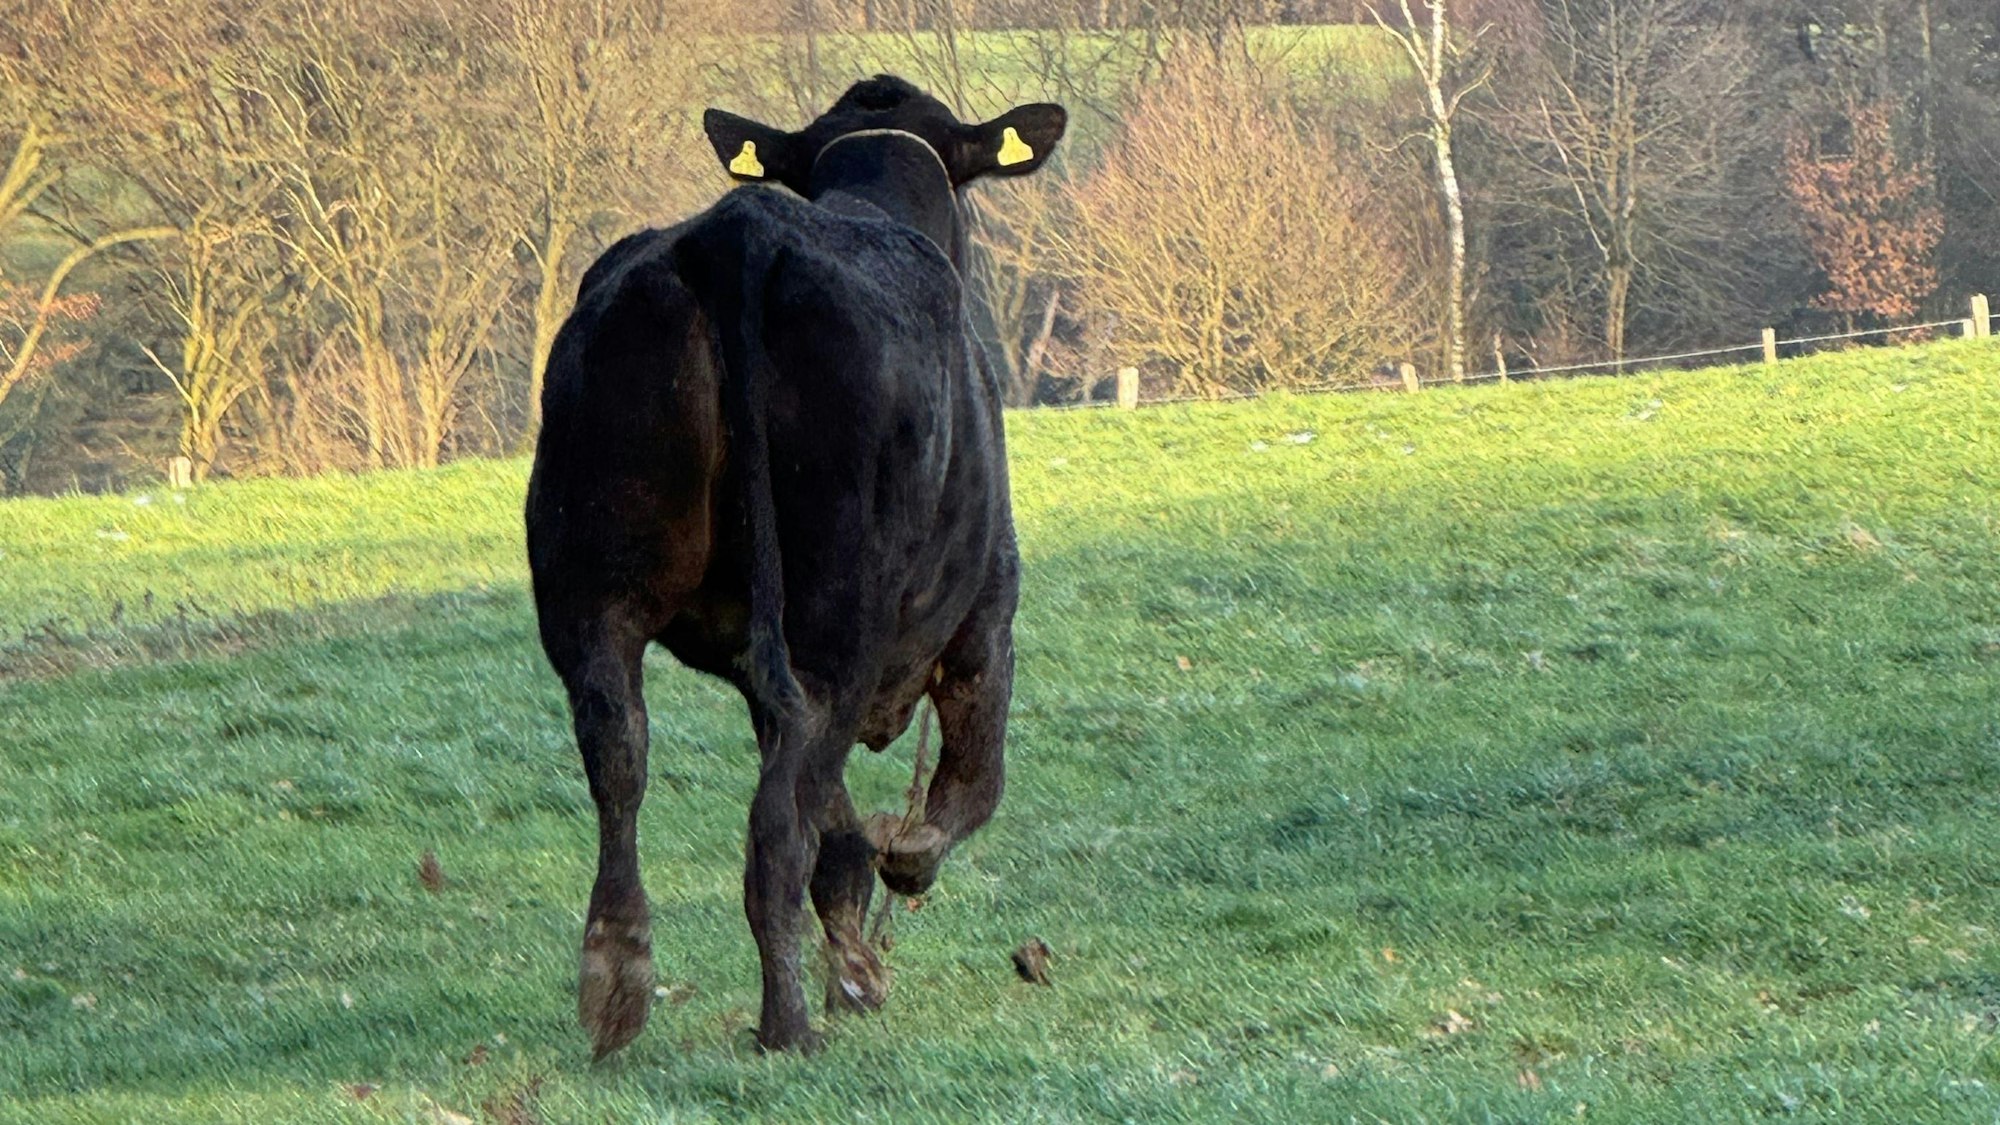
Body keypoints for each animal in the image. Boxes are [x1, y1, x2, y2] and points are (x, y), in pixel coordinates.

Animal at [524, 76, 1067, 1056]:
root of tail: (737, 230)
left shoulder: (751, 659)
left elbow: (839, 817)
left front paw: (856, 946)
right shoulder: (987, 617)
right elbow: (966, 790)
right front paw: (898, 873)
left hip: (591, 586)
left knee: (621, 750)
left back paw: (617, 983)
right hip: (836, 610)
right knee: (779, 819)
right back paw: (788, 1022)